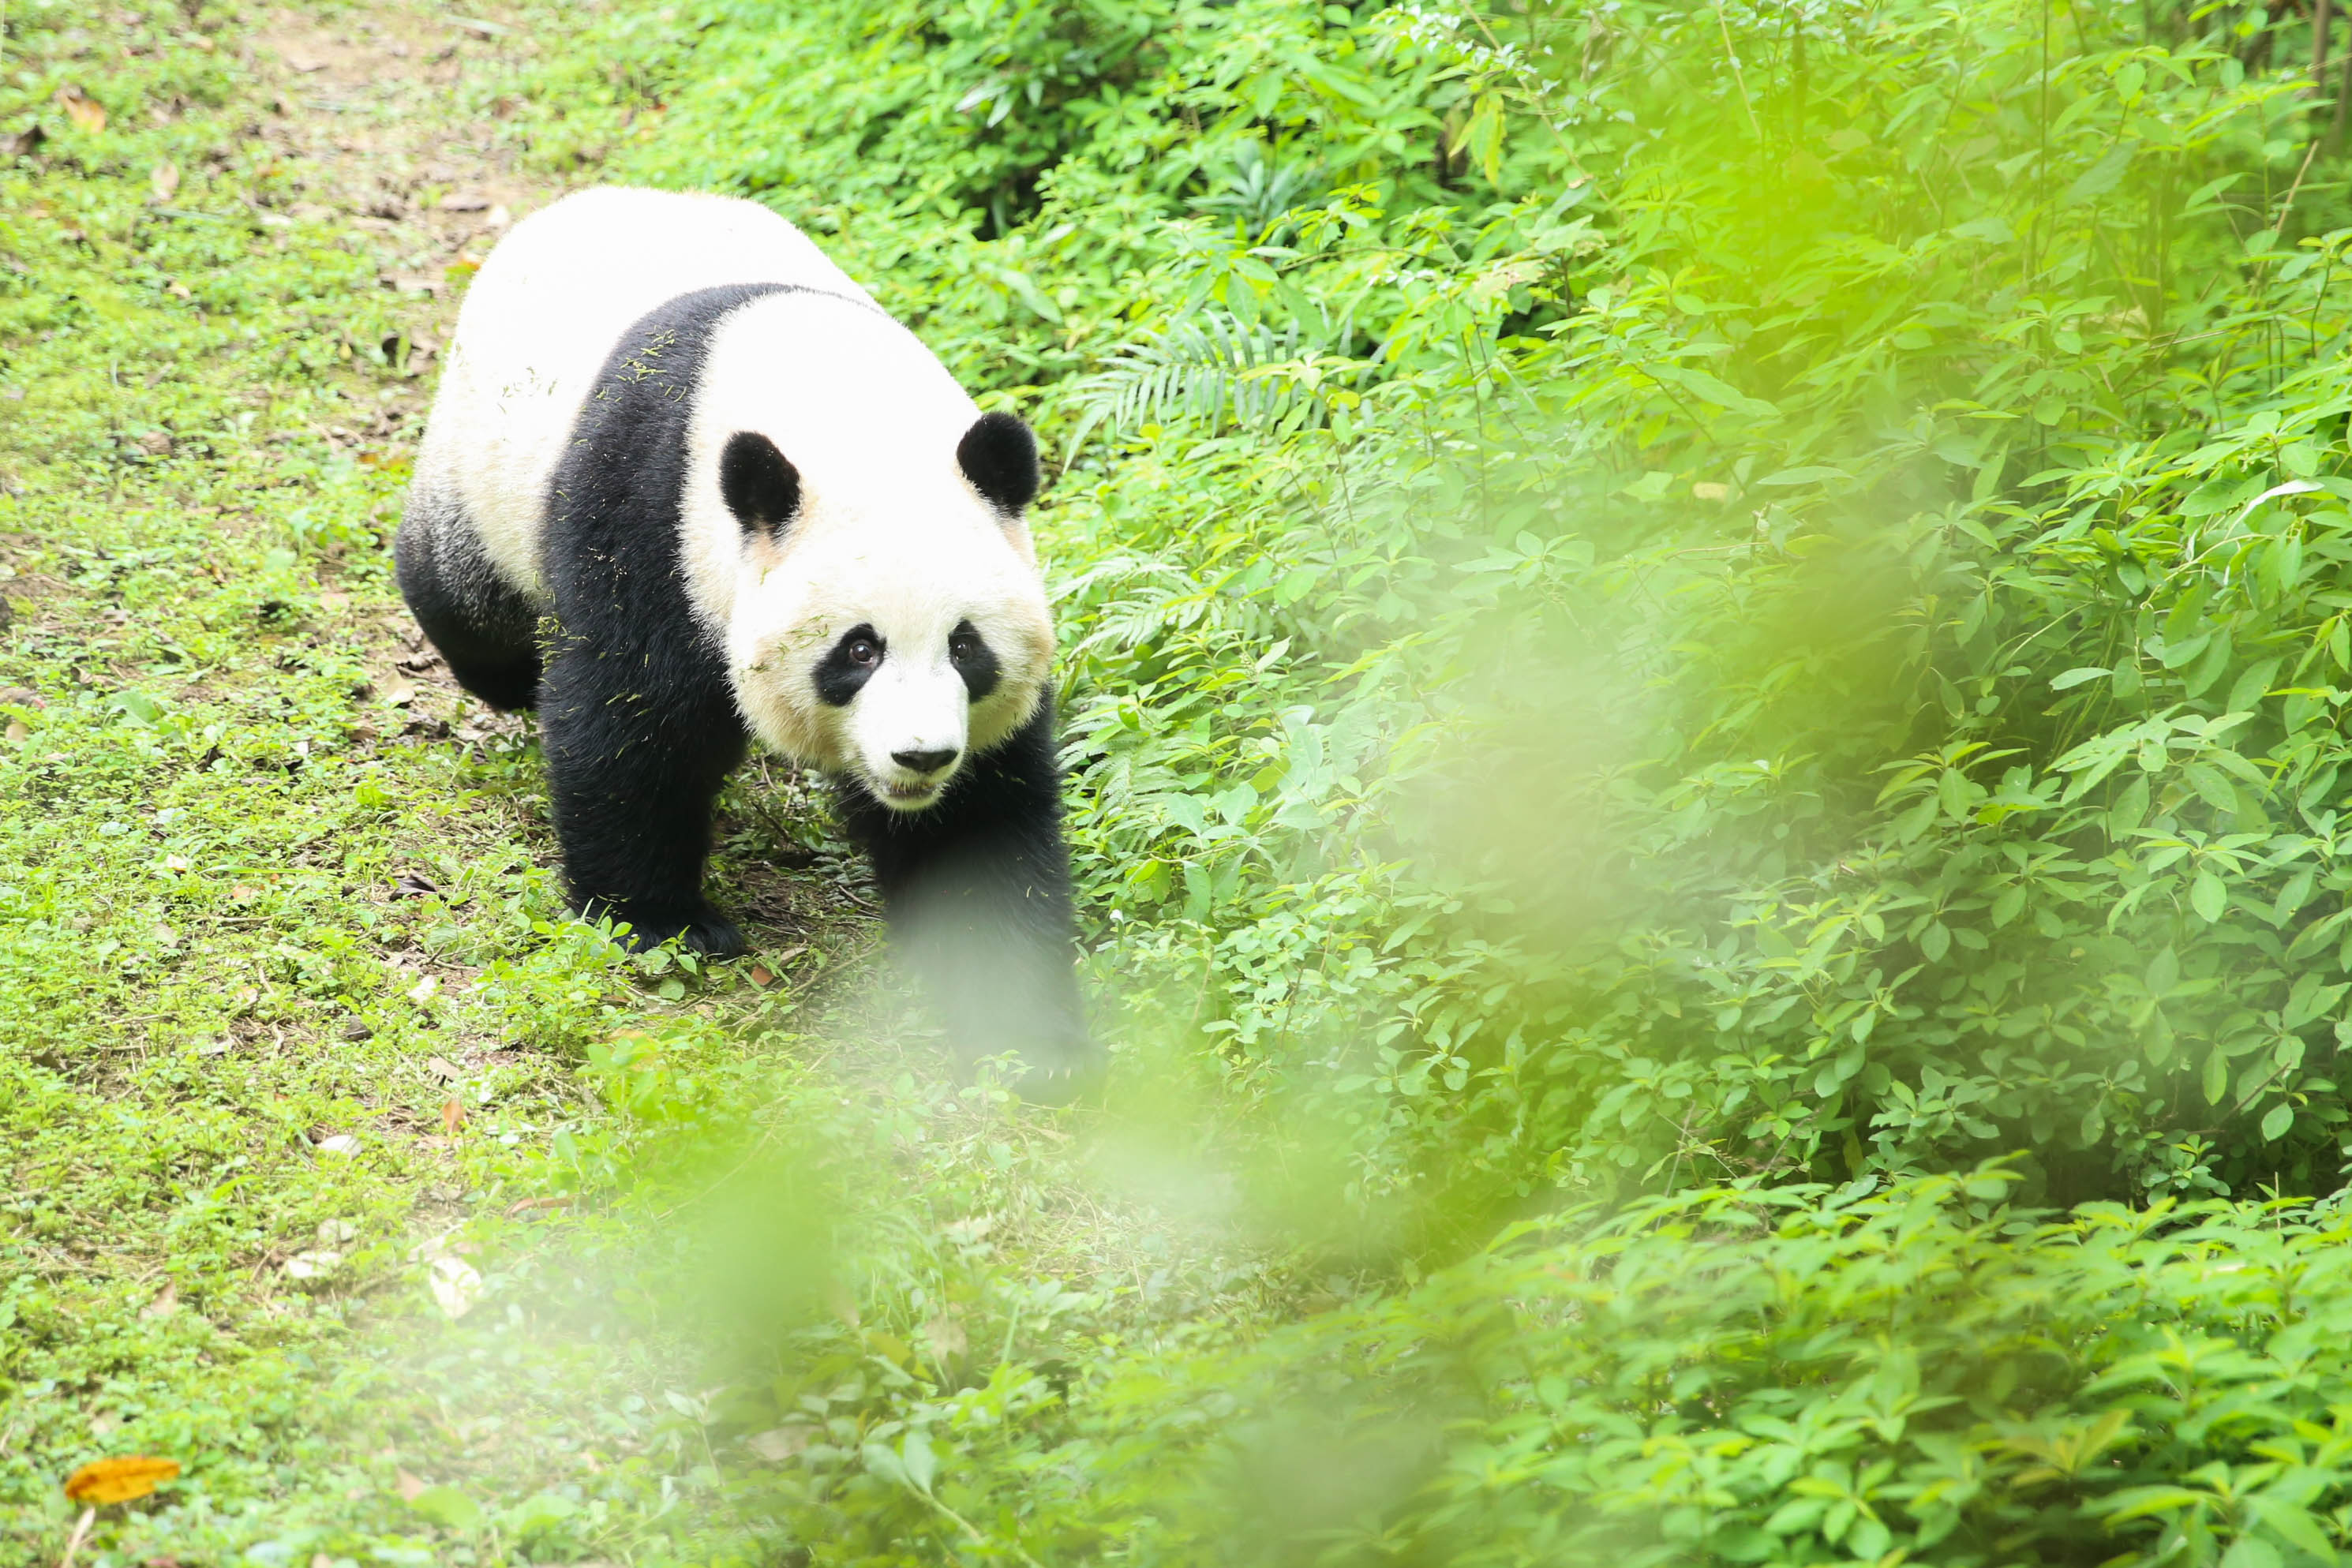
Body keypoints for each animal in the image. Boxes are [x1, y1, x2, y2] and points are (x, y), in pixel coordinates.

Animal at [402, 186, 1091, 1081]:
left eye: (966, 647)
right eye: (858, 650)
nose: (921, 757)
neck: (851, 416)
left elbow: (981, 821)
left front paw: (1023, 1034)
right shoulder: (650, 518)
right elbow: (629, 723)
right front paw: (662, 921)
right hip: (482, 467)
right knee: (464, 599)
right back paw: (506, 673)